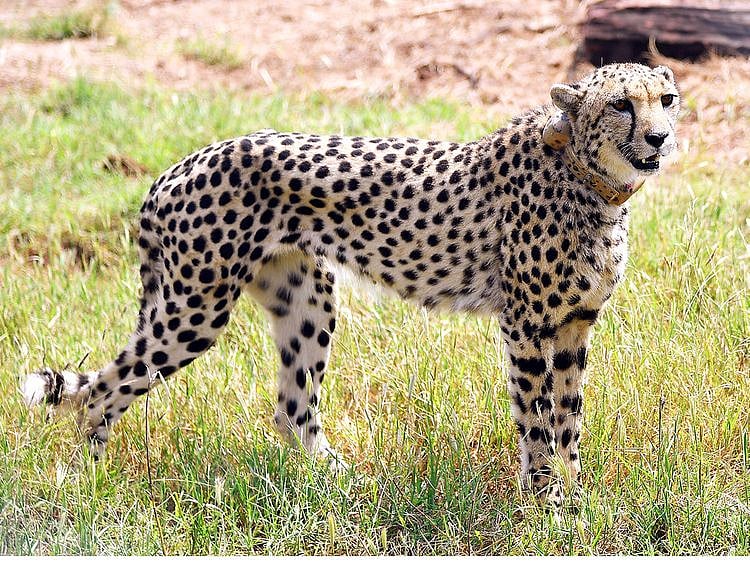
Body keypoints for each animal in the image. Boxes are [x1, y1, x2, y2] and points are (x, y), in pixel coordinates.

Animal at [21, 63, 680, 507]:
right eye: (622, 105)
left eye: (667, 99)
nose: (659, 137)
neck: (591, 180)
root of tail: (180, 165)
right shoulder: (526, 326)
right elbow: (537, 420)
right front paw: (545, 505)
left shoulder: (573, 326)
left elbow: (569, 419)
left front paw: (577, 499)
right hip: (195, 309)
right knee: (101, 389)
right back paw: (89, 483)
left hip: (306, 300)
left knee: (291, 408)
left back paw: (342, 483)